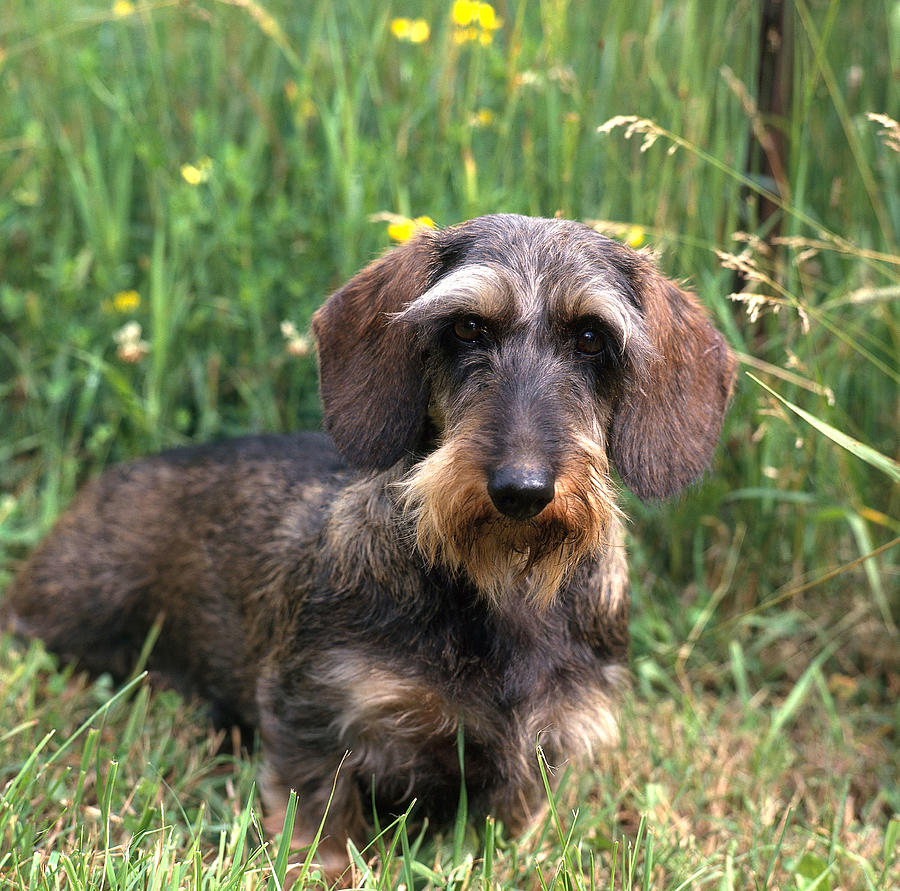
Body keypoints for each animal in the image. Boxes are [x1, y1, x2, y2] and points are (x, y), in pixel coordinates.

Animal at [0, 214, 736, 872]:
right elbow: (320, 811)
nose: (521, 489)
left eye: (590, 338)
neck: (499, 587)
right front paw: (324, 866)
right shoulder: (316, 710)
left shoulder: (547, 747)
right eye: (466, 326)